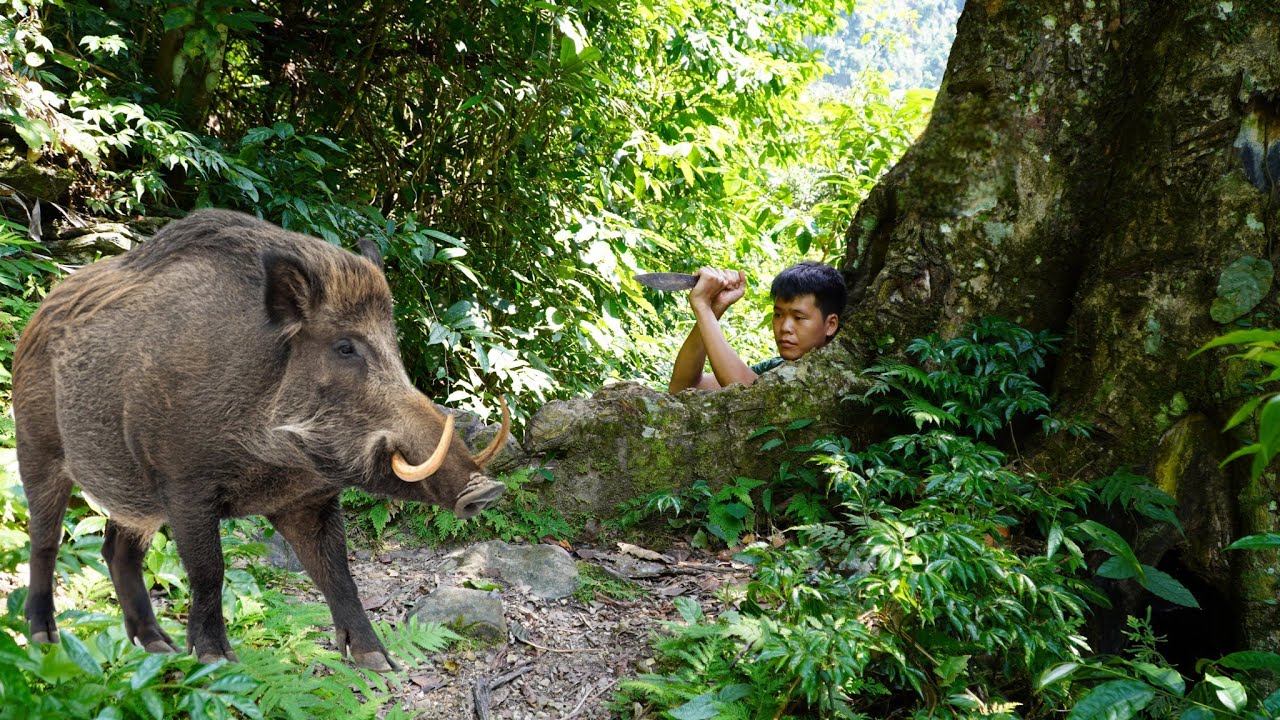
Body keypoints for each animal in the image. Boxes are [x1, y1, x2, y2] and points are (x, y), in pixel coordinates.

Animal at [11, 209, 510, 671]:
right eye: (344, 347)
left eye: (394, 347)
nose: (487, 489)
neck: (275, 453)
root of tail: (36, 318)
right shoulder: (185, 484)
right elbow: (209, 570)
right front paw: (215, 661)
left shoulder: (308, 499)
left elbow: (338, 572)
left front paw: (380, 663)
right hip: (36, 447)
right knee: (45, 539)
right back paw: (43, 640)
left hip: (135, 497)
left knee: (117, 549)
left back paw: (158, 647)